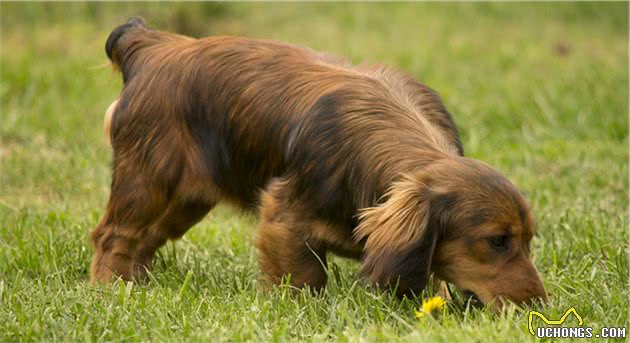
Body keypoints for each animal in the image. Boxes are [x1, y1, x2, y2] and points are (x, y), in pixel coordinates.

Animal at [90, 17, 548, 310]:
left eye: (528, 240)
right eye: (497, 241)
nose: (538, 309)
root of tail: (152, 46)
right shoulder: (284, 217)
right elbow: (306, 278)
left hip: (186, 202)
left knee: (144, 241)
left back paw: (140, 286)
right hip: (148, 181)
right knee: (112, 236)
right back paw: (110, 291)